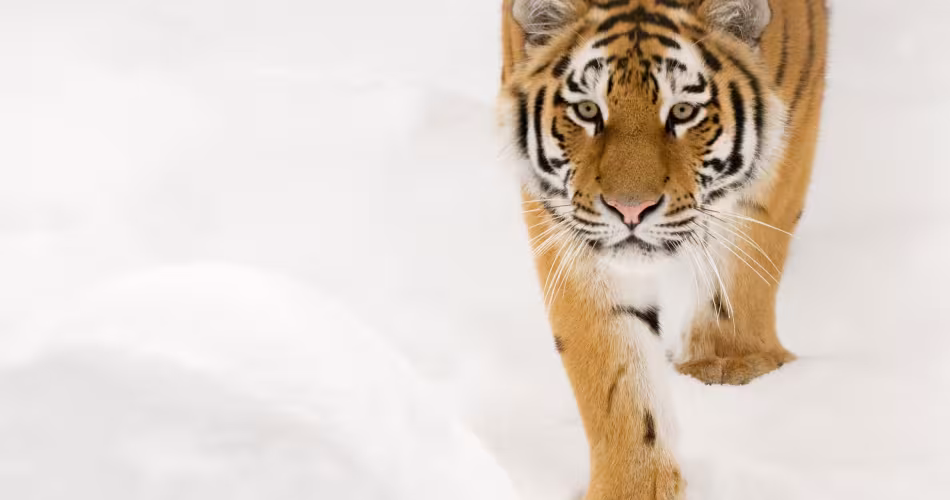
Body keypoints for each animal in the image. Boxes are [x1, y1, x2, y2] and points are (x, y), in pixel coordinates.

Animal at [498, 0, 828, 497]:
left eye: (684, 111)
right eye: (588, 110)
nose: (630, 210)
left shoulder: (790, 120)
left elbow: (748, 253)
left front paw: (728, 363)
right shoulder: (568, 217)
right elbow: (612, 361)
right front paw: (631, 486)